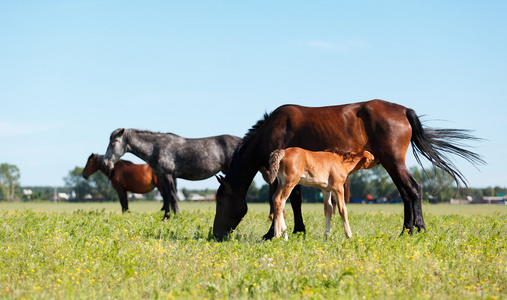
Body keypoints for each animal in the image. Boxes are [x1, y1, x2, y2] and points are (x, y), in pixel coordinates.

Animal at [102, 127, 243, 219]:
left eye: (113, 143)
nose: (106, 163)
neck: (155, 147)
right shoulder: (161, 176)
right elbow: (166, 197)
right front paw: (166, 217)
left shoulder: (168, 175)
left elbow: (173, 196)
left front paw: (177, 215)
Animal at [213, 99, 484, 240]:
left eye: (220, 202)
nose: (215, 234)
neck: (272, 129)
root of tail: (404, 111)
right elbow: (295, 202)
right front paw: (298, 231)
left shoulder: (281, 176)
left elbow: (282, 202)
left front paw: (274, 233)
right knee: (408, 192)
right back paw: (408, 229)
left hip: (393, 162)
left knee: (412, 190)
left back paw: (414, 229)